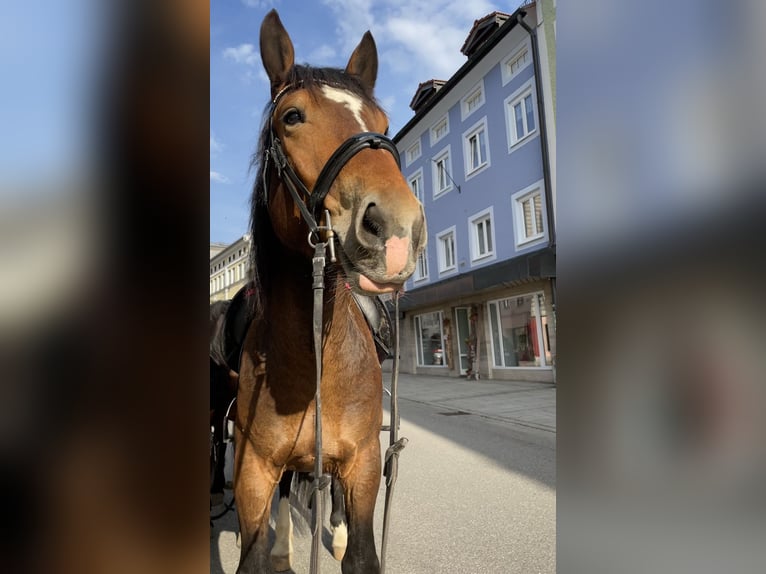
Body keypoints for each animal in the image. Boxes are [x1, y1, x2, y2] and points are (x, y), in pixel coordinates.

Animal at [232, 9, 426, 574]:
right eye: (292, 116)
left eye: (382, 125)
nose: (397, 229)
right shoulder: (253, 473)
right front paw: (277, 548)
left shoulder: (362, 464)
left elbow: (360, 551)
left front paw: (339, 538)